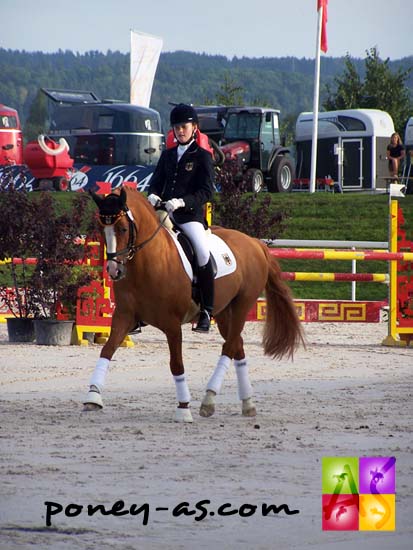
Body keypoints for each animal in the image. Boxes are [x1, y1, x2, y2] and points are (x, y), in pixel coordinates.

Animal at [83, 185, 302, 422]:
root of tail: (256, 243)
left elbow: (176, 364)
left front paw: (183, 408)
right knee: (237, 345)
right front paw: (93, 396)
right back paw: (247, 403)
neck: (148, 263)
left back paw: (209, 399)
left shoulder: (172, 324)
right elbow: (107, 350)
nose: (114, 270)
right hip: (224, 312)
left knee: (229, 346)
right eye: (101, 228)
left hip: (243, 305)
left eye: (123, 228)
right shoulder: (124, 316)